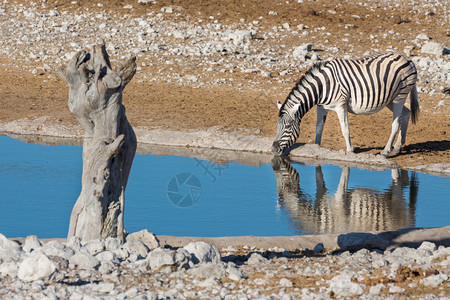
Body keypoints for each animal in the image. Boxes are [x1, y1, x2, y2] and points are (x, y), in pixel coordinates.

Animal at [272, 51, 420, 157]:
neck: (322, 87)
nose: (273, 150)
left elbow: (345, 129)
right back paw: (398, 147)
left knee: (396, 123)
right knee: (406, 113)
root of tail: (407, 59)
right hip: (390, 98)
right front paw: (316, 148)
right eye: (277, 127)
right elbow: (319, 128)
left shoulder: (340, 105)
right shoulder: (321, 107)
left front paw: (350, 150)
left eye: (288, 127)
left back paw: (386, 151)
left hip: (400, 96)